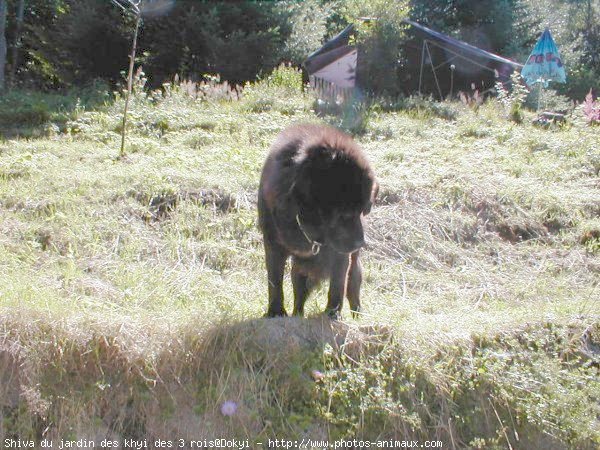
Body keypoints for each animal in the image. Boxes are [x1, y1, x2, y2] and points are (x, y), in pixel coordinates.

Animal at [258, 125, 380, 318]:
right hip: (300, 267)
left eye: (362, 211)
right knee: (299, 291)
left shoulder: (340, 255)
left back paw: (358, 315)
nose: (361, 243)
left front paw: (332, 313)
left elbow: (337, 284)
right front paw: (275, 311)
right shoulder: (273, 243)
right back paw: (297, 314)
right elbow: (274, 280)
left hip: (353, 267)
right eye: (343, 214)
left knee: (352, 286)